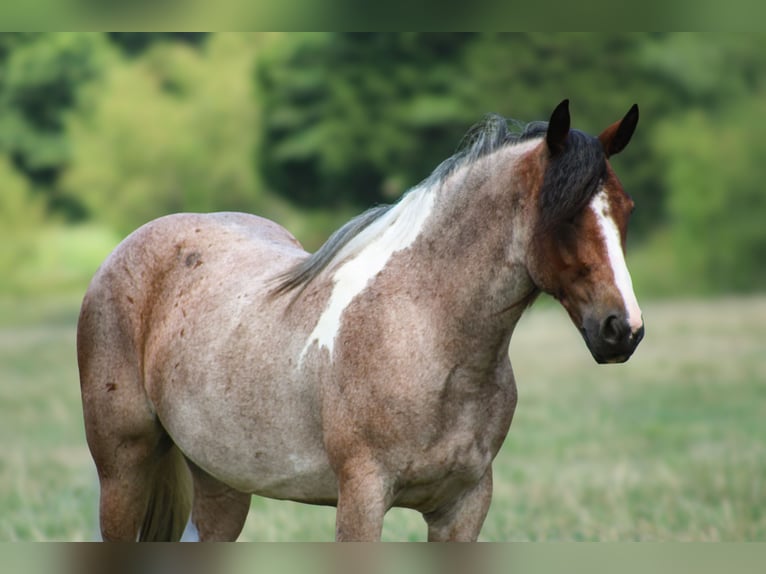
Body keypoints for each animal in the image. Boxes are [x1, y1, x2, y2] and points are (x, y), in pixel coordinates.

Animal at [77, 99, 644, 542]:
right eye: (565, 215)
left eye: (626, 209)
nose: (623, 329)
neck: (425, 333)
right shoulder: (362, 500)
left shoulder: (464, 506)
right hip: (123, 471)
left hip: (222, 482)